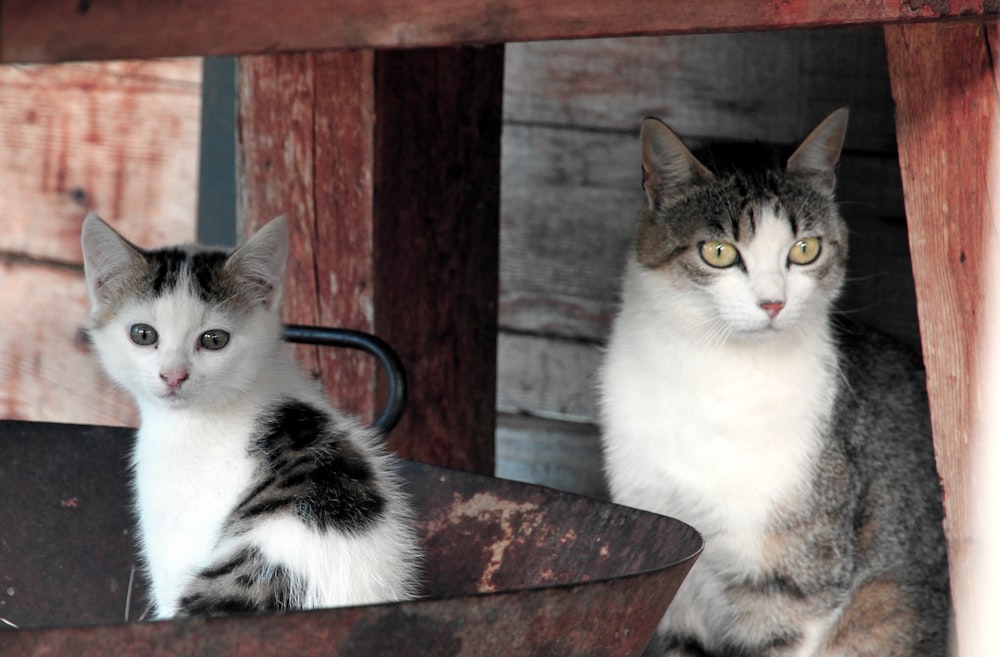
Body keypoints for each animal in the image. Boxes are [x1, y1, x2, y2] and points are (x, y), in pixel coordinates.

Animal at [596, 107, 948, 656]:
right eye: (719, 252)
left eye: (805, 249)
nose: (773, 303)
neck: (717, 374)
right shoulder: (669, 561)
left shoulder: (797, 584)